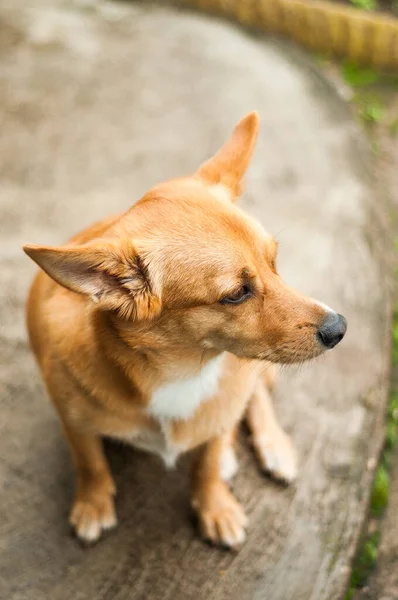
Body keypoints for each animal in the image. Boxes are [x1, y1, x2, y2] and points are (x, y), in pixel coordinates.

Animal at [23, 112, 346, 548]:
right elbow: (90, 462)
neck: (182, 370)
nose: (339, 328)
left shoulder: (226, 401)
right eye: (236, 294)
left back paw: (268, 446)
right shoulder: (73, 419)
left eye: (274, 262)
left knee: (254, 399)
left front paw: (215, 505)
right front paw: (93, 503)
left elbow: (206, 465)